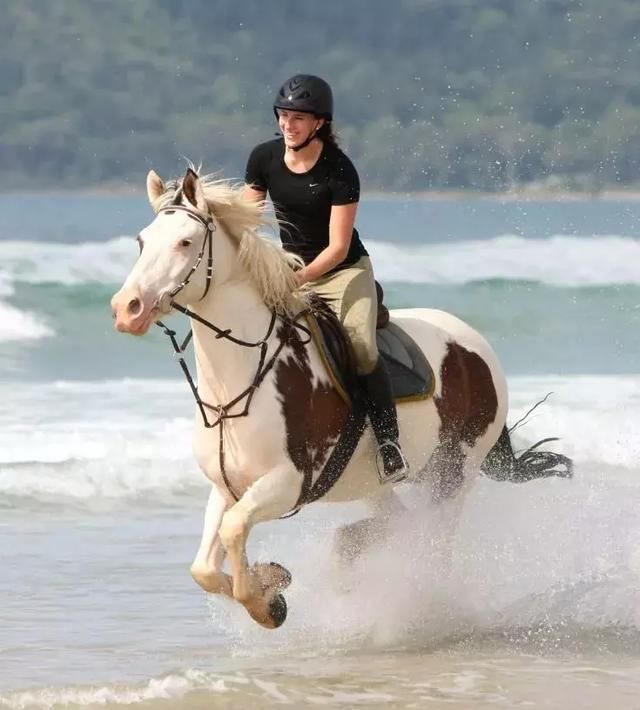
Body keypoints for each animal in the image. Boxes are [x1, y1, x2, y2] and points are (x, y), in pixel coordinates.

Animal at [109, 170, 568, 632]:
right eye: (142, 241)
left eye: (185, 242)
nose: (127, 309)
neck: (241, 378)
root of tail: (478, 347)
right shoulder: (228, 486)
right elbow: (204, 566)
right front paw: (272, 583)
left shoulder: (287, 483)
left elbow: (234, 531)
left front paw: (266, 603)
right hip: (384, 481)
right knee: (401, 523)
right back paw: (347, 552)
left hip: (452, 474)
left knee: (430, 542)